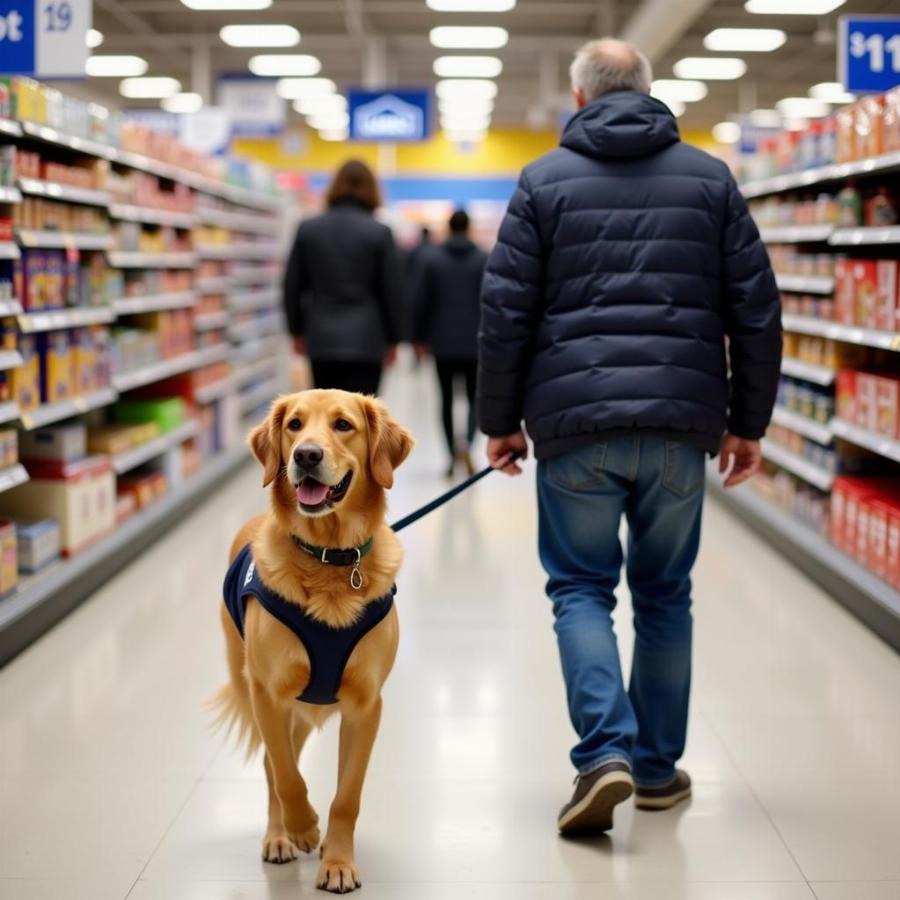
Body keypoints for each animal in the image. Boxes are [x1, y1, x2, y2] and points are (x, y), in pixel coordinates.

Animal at [214, 388, 414, 892]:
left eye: (343, 425)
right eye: (294, 425)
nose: (306, 455)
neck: (330, 558)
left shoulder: (366, 706)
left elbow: (347, 795)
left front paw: (338, 861)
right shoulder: (269, 694)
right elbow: (286, 776)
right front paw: (303, 827)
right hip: (257, 691)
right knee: (273, 769)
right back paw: (280, 835)